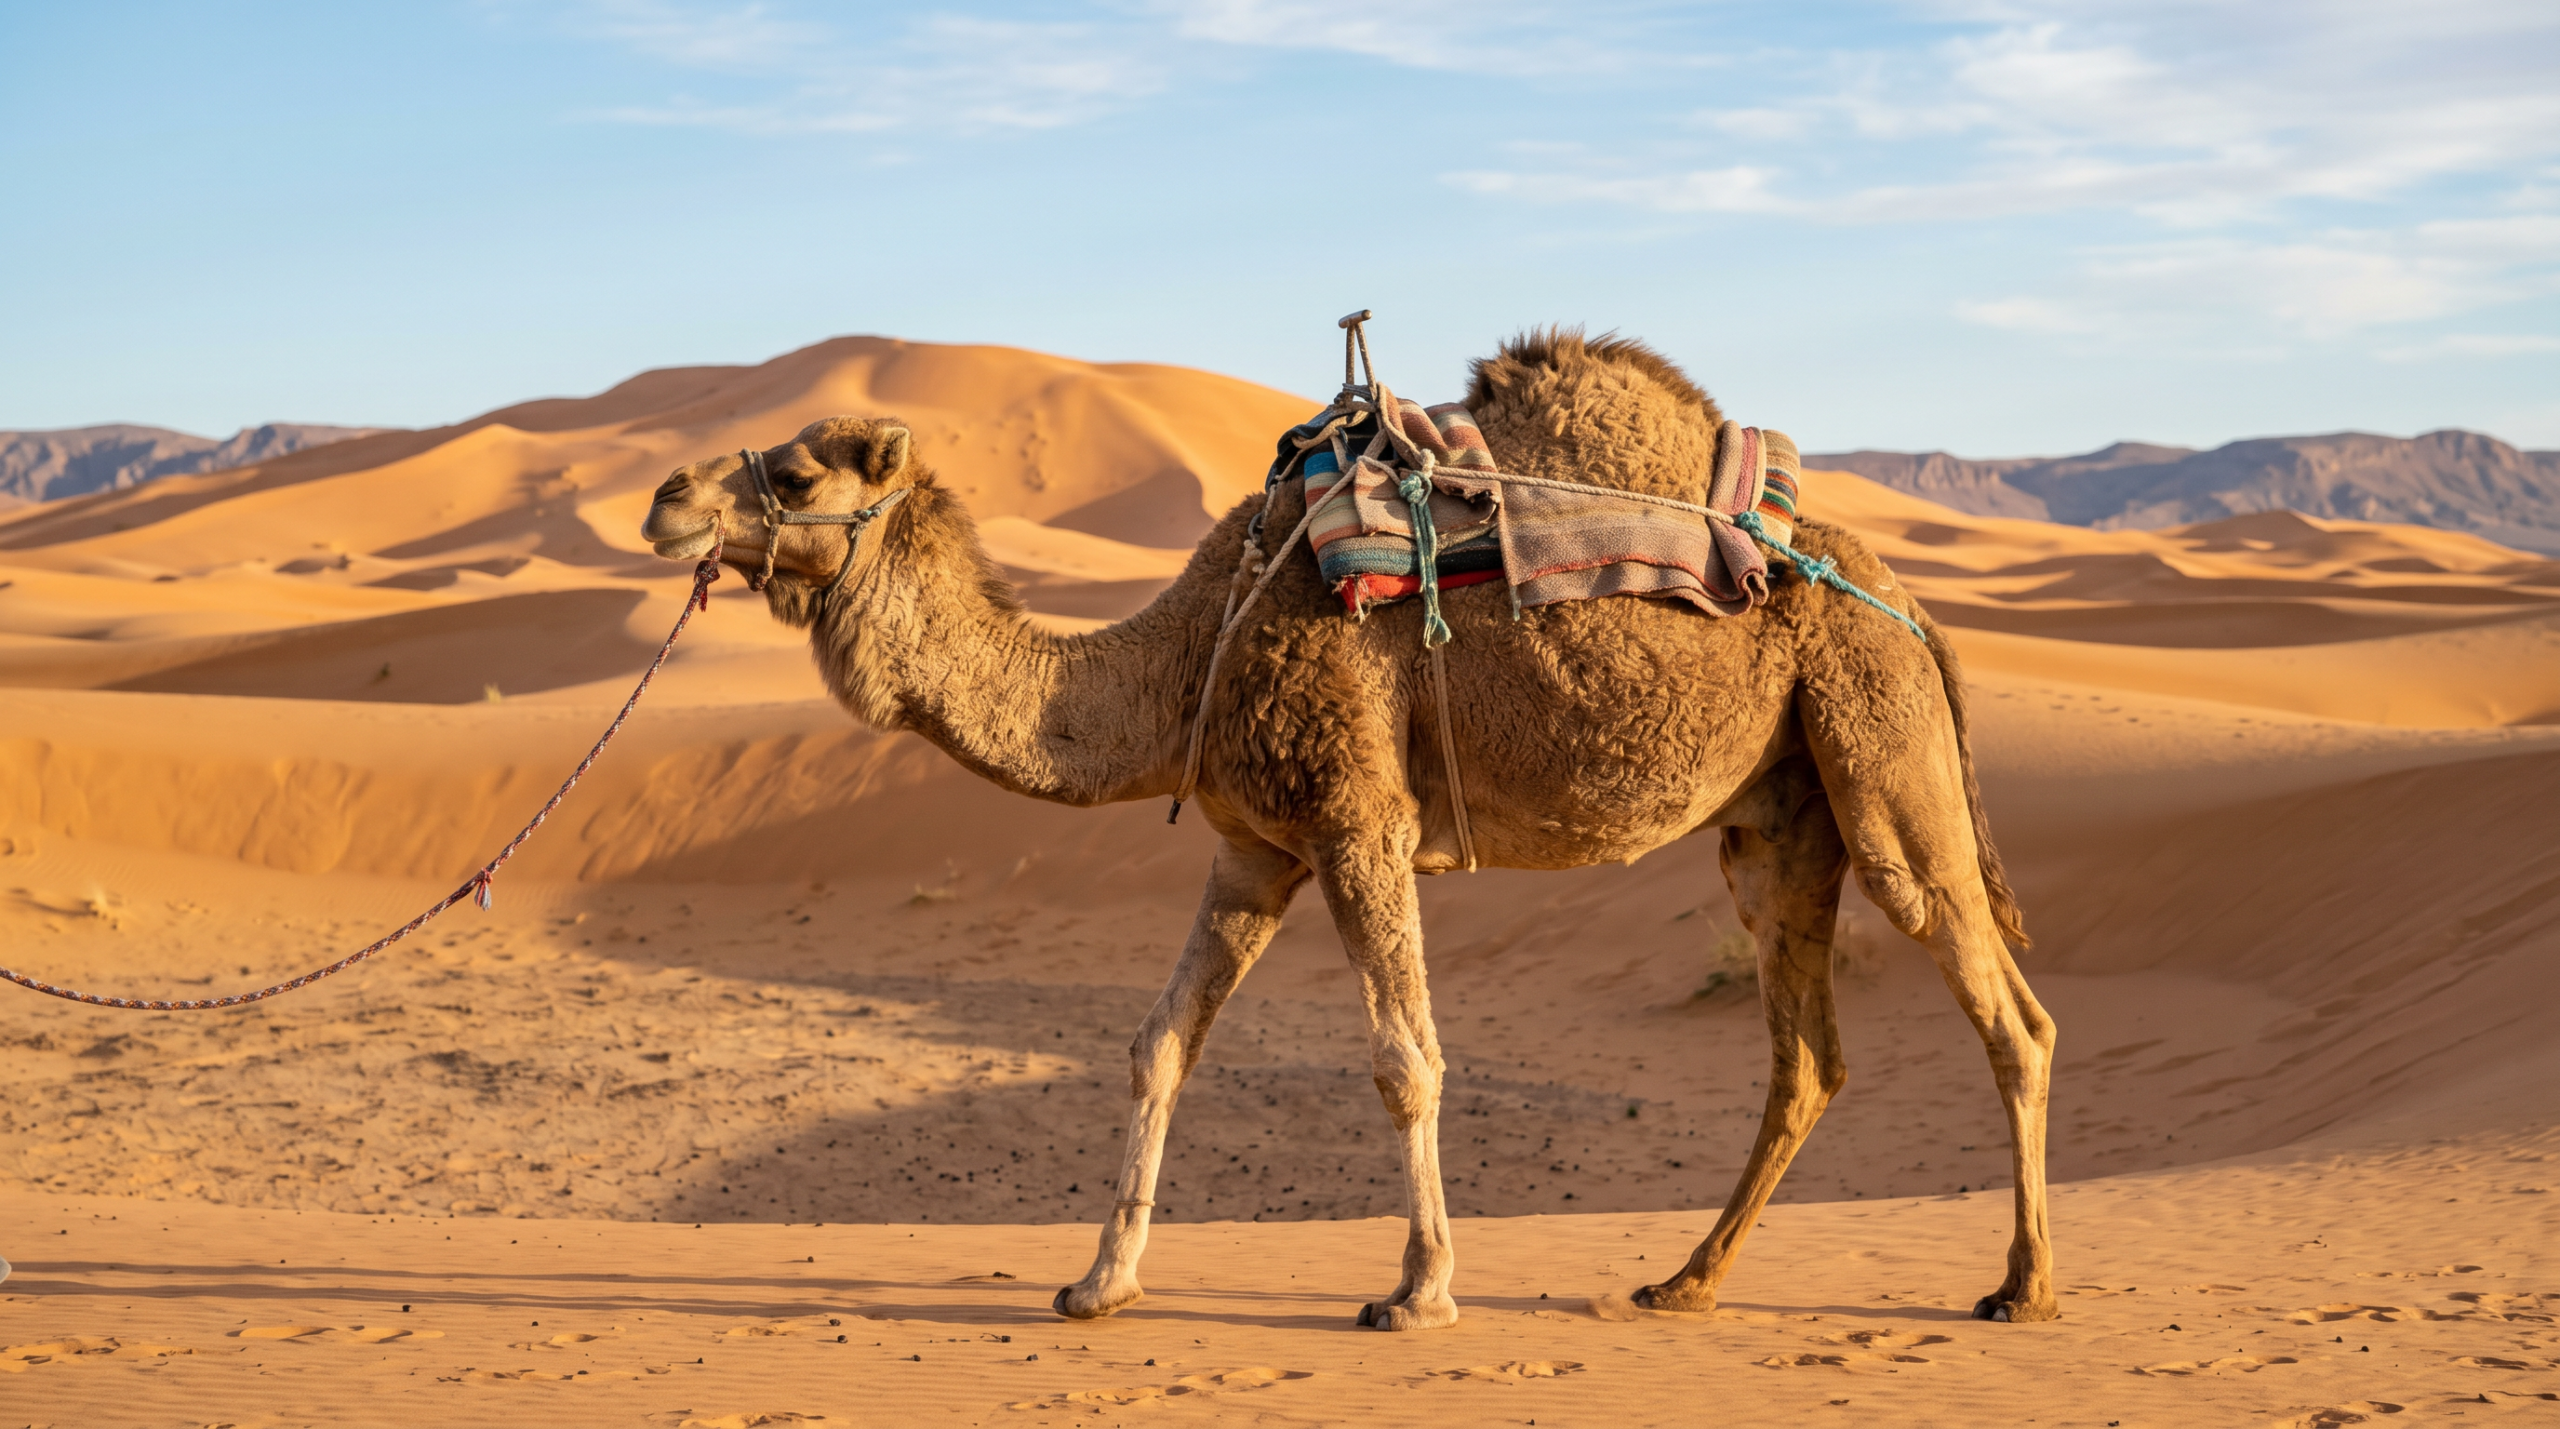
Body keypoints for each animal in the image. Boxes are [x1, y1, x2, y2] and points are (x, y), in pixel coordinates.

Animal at [639, 331, 2059, 1330]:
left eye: (798, 469)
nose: (663, 496)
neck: (1182, 658)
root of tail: (1902, 595)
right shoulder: (1252, 847)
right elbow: (1158, 1045)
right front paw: (1097, 1283)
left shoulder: (1355, 818)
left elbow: (1403, 1057)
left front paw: (1417, 1292)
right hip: (1778, 814)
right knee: (1807, 1051)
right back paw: (1683, 1281)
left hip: (1880, 749)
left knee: (2007, 1010)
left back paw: (2021, 1286)